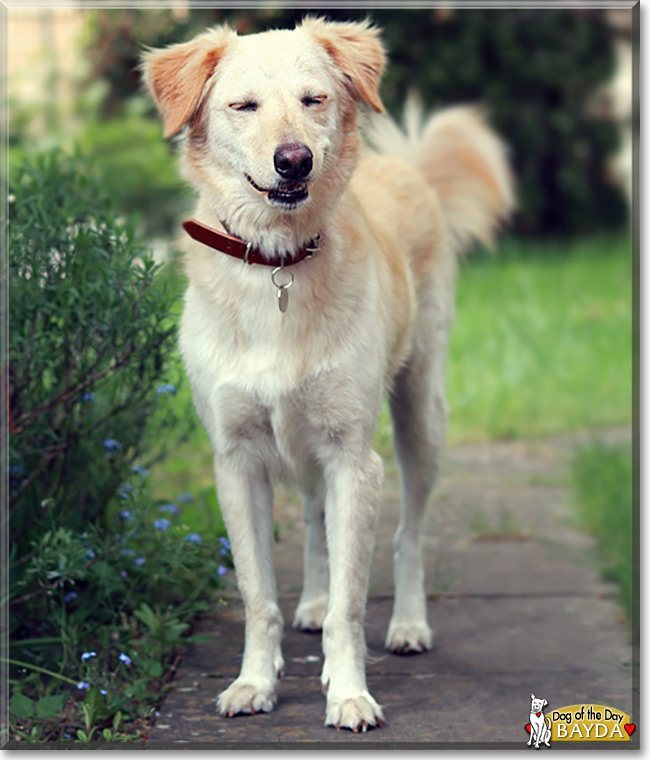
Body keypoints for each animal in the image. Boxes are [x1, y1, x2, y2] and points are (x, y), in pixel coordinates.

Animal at [142, 16, 512, 732]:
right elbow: (258, 593)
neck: (278, 263)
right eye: (244, 106)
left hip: (420, 416)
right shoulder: (237, 462)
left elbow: (352, 599)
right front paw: (255, 682)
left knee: (409, 534)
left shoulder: (353, 459)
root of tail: (405, 166)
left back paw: (408, 624)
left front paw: (348, 694)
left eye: (314, 100)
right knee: (315, 520)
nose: (294, 160)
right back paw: (309, 603)